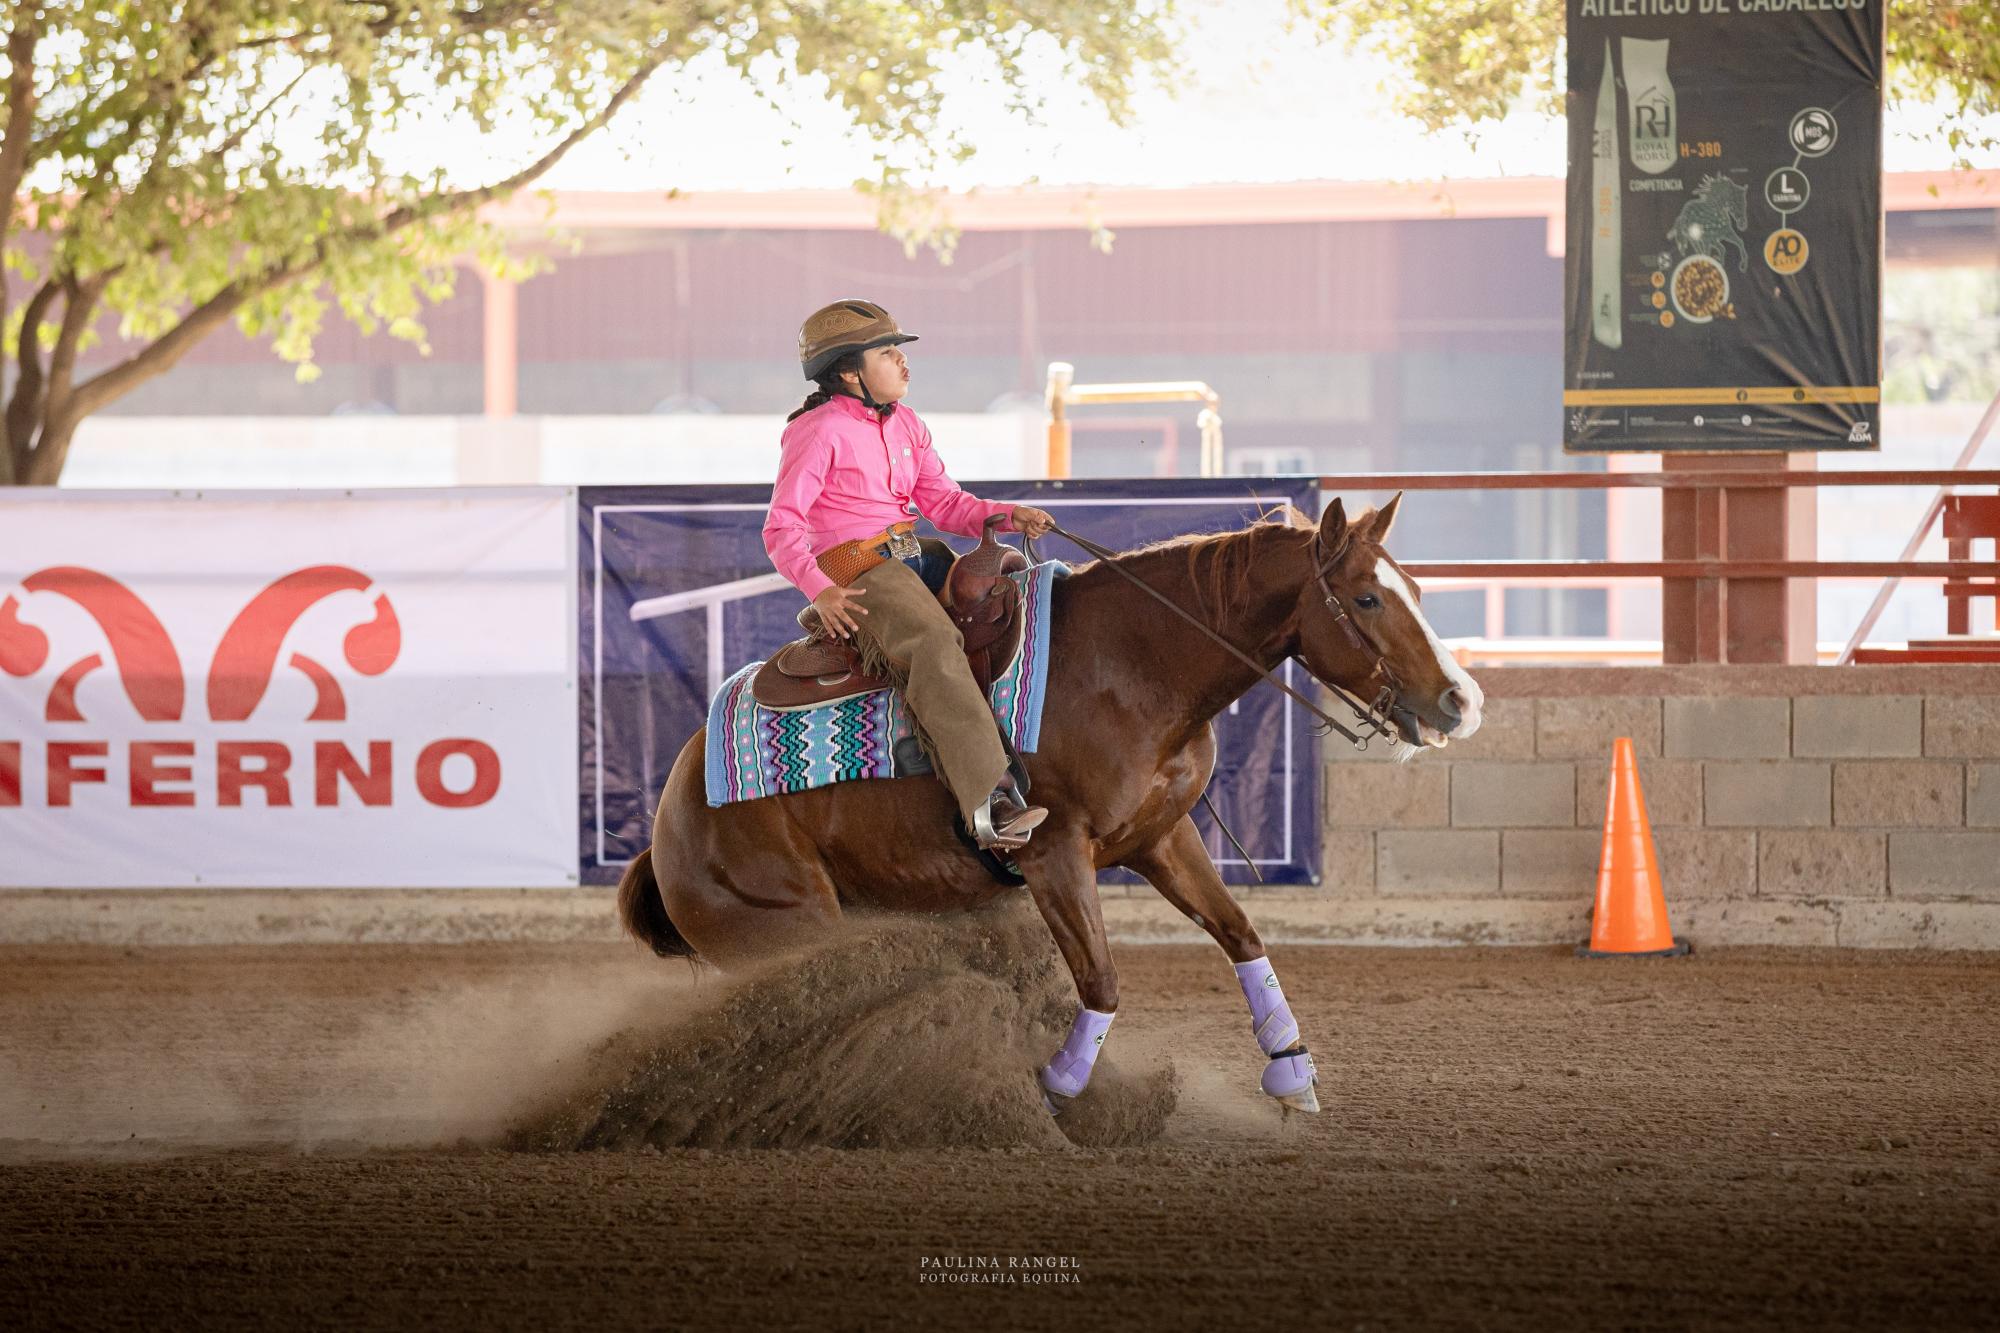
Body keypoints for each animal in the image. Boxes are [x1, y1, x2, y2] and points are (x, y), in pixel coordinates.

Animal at [616, 492, 1480, 1104]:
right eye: (1366, 599)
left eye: (1416, 586)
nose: (1460, 700)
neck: (1133, 663)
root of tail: (669, 824)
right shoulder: (1054, 852)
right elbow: (1101, 976)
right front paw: (1062, 1086)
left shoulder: (1161, 837)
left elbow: (1240, 933)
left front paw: (1291, 1070)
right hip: (789, 928)